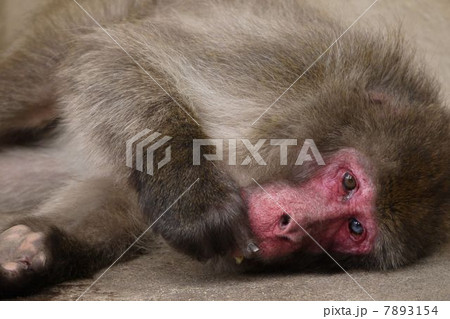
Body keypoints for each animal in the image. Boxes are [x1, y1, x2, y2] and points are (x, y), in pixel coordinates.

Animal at [0, 0, 448, 298]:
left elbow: (119, 201)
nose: (291, 225)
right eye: (349, 182)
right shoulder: (279, 69)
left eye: (354, 228)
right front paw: (193, 202)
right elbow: (112, 56)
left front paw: (34, 250)